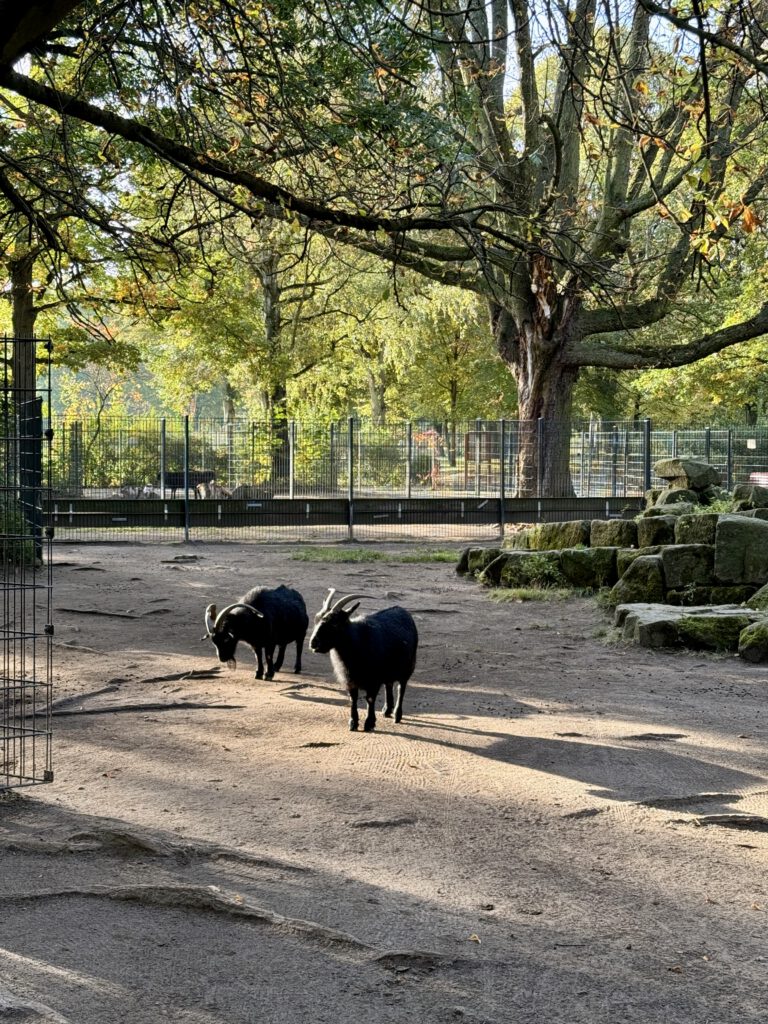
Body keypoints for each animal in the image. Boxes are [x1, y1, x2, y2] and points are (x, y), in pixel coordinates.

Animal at [309, 589, 421, 733]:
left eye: (334, 623)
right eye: (316, 619)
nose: (313, 643)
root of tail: (404, 612)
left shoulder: (373, 680)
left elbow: (370, 699)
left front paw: (369, 723)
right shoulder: (350, 680)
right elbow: (353, 699)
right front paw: (353, 723)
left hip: (407, 667)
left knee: (401, 688)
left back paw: (397, 715)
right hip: (388, 670)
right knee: (389, 684)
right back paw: (387, 710)